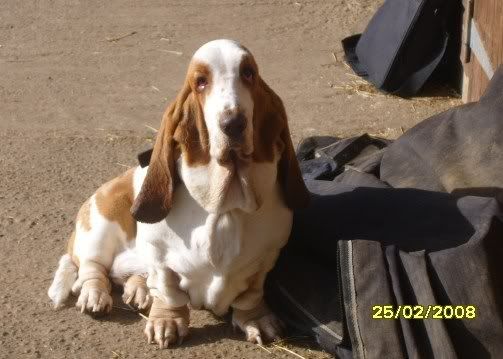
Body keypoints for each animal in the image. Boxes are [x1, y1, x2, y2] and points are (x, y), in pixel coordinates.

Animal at [49, 39, 310, 348]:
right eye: (200, 82)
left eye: (248, 73)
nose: (233, 123)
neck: (223, 208)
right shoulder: (162, 261)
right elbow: (169, 293)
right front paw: (167, 323)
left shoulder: (265, 259)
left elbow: (251, 294)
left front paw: (256, 319)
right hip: (99, 226)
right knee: (91, 269)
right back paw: (95, 296)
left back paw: (138, 292)